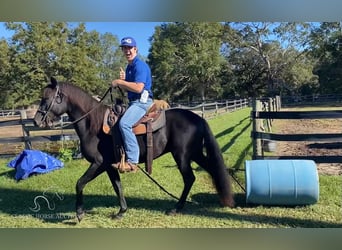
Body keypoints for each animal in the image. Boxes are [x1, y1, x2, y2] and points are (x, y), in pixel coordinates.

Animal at [33, 77, 234, 222]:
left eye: (46, 99)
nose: (36, 121)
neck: (93, 123)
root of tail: (197, 118)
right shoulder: (110, 165)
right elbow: (118, 186)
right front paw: (121, 211)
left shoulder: (99, 163)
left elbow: (80, 183)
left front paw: (80, 213)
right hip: (195, 154)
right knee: (212, 169)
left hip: (182, 156)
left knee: (189, 178)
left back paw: (176, 208)